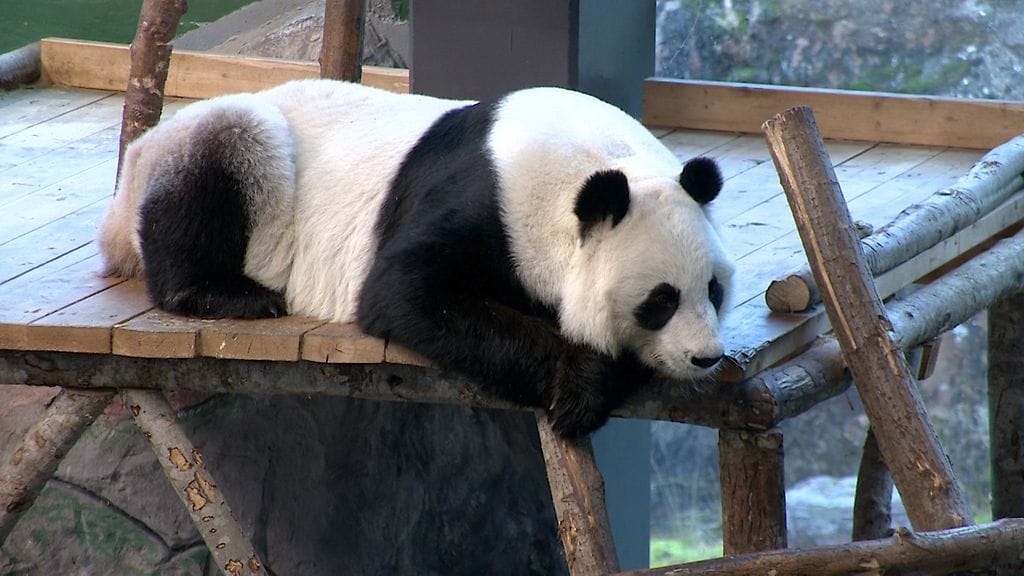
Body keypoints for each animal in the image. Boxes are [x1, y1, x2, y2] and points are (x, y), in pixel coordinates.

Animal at [99, 79, 733, 438]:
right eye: (660, 301)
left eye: (714, 290)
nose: (706, 358)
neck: (589, 162)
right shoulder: (483, 200)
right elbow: (408, 294)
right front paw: (576, 385)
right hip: (224, 151)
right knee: (225, 158)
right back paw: (227, 292)